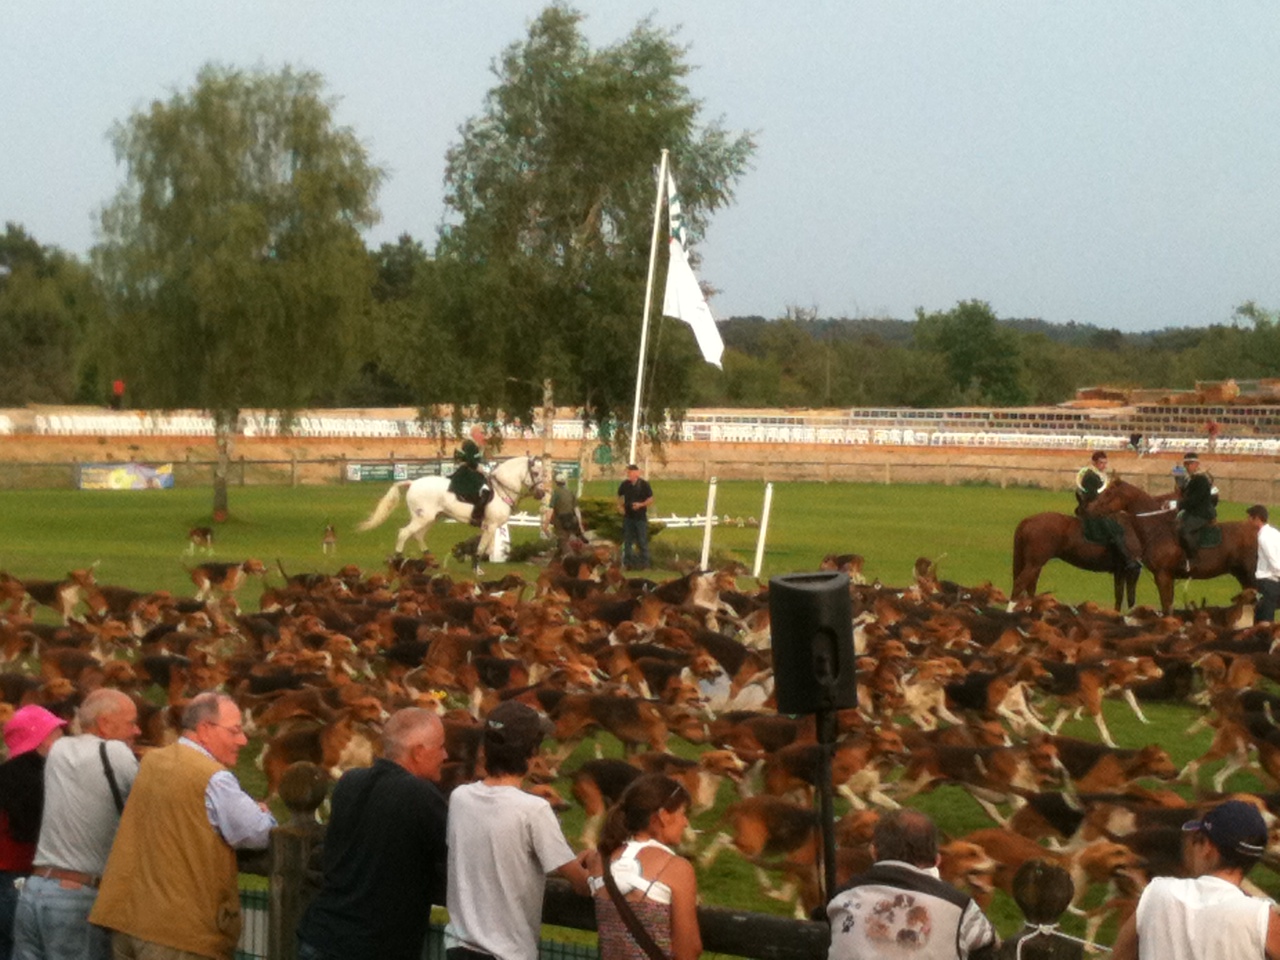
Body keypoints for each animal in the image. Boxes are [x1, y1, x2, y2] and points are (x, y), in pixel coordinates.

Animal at [355, 458, 545, 570]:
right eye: (535, 473)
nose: (542, 494)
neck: (501, 490)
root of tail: (413, 483)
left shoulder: (490, 526)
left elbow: (486, 546)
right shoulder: (491, 525)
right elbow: (481, 547)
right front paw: (476, 568)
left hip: (431, 518)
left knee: (418, 535)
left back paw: (431, 560)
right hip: (423, 518)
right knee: (404, 533)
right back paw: (397, 560)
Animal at [1013, 512, 1146, 609]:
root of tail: (1028, 520)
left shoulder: (1120, 571)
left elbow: (1119, 596)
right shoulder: (1132, 571)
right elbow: (1130, 598)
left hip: (1034, 566)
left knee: (1029, 588)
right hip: (1034, 565)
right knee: (1019, 585)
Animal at [1085, 481, 1254, 616]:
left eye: (1108, 493)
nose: (1088, 509)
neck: (1156, 528)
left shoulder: (1163, 575)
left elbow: (1166, 607)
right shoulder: (1168, 577)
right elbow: (1169, 606)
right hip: (1242, 575)